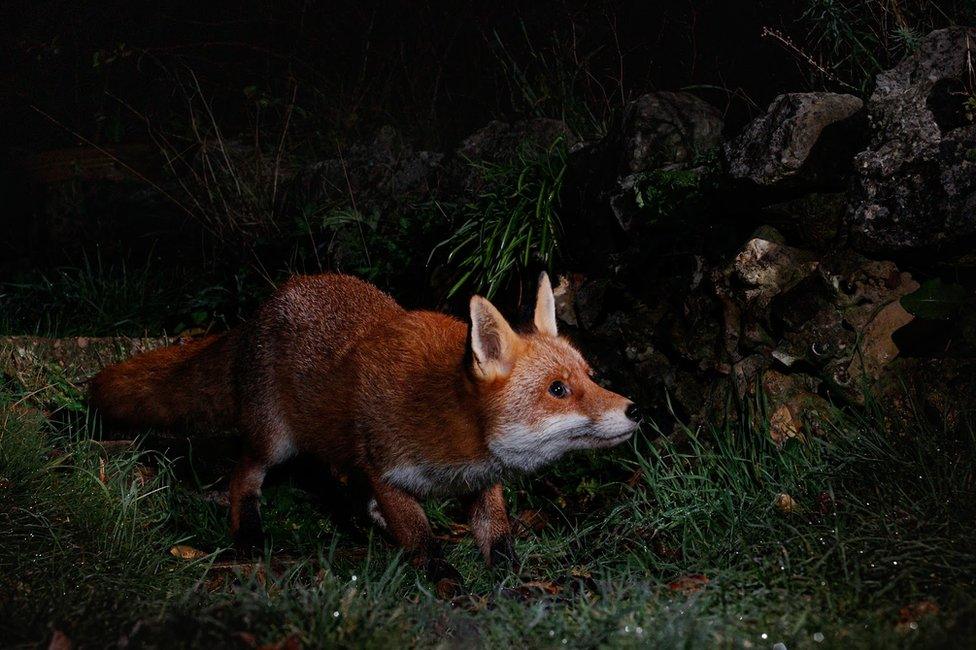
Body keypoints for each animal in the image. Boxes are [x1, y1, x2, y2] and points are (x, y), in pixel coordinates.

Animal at [89, 270, 640, 588]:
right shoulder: (386, 468)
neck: (455, 426)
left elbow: (498, 540)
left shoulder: (483, 483)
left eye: (589, 375)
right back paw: (249, 532)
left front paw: (516, 587)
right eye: (557, 389)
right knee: (241, 476)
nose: (634, 409)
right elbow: (420, 537)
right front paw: (445, 582)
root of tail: (262, 310)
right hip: (274, 442)